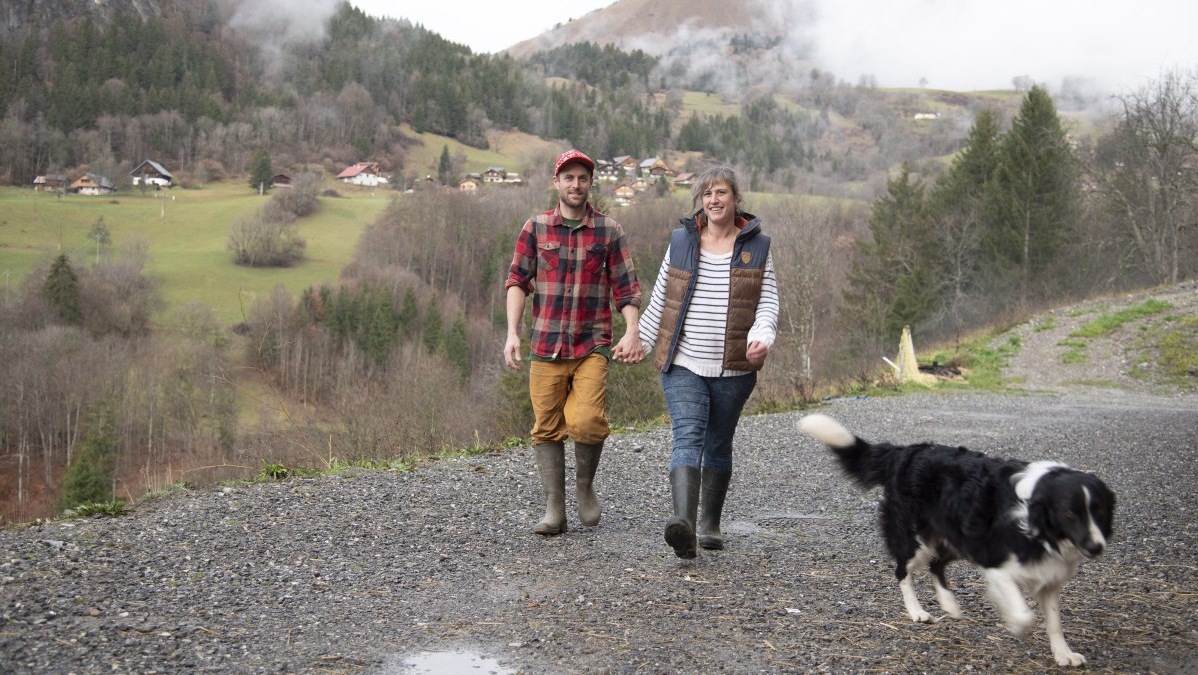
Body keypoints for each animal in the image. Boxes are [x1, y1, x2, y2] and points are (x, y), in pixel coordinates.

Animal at [795, 414, 1111, 666]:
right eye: (1069, 513)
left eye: (1099, 510)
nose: (1096, 547)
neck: (1035, 514)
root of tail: (904, 452)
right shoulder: (995, 563)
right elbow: (1024, 615)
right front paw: (1016, 625)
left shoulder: (1047, 577)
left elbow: (1055, 622)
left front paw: (1063, 654)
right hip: (917, 540)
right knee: (903, 571)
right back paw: (917, 611)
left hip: (954, 537)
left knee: (937, 566)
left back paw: (949, 605)